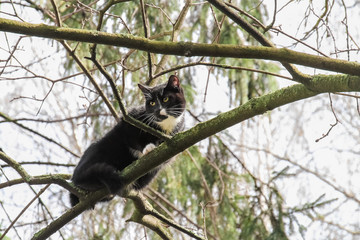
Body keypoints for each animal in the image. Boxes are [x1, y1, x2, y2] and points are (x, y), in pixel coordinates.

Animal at [69, 74, 186, 206]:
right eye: (152, 103)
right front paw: (148, 148)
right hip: (101, 148)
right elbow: (133, 138)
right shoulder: (130, 120)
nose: (157, 110)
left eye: (165, 99)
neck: (165, 125)